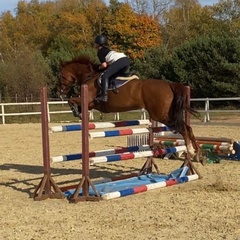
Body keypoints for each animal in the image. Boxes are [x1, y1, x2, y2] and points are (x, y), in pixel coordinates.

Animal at [57, 55, 203, 165]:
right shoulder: (91, 105)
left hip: (161, 115)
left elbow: (72, 100)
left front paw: (76, 112)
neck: (90, 76)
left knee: (183, 128)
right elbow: (77, 103)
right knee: (188, 127)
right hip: (166, 114)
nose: (60, 92)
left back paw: (191, 151)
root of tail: (168, 84)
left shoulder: (89, 101)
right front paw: (78, 112)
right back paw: (198, 155)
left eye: (61, 76)